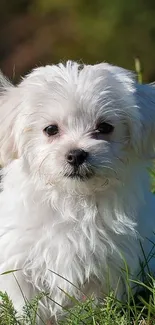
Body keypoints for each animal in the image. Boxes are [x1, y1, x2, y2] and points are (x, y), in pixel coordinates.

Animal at [0, 61, 155, 322]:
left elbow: (98, 303)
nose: (76, 154)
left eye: (105, 127)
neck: (73, 200)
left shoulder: (110, 263)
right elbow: (26, 303)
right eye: (50, 129)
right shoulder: (20, 261)